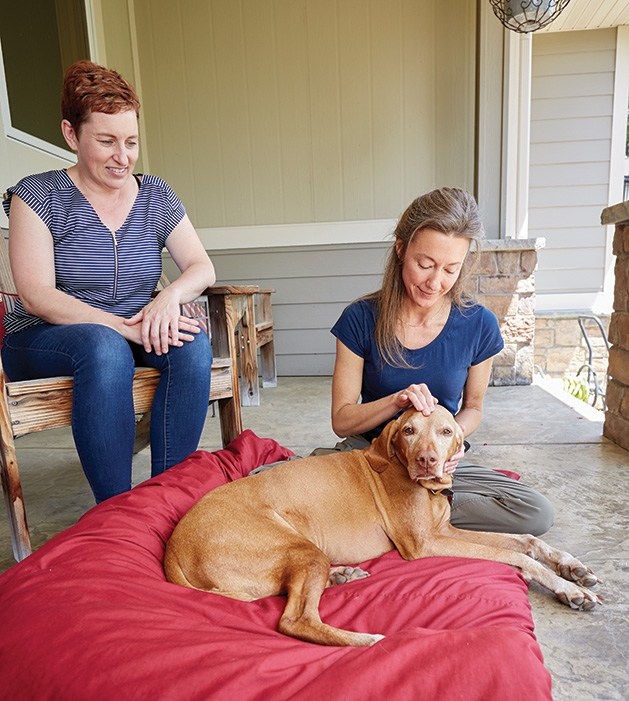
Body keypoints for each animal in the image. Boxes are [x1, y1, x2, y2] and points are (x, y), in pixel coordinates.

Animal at [164, 404, 600, 644]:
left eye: (446, 431)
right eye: (408, 430)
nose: (427, 460)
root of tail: (173, 548)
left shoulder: (443, 532)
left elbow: (525, 540)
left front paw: (571, 568)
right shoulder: (426, 545)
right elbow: (520, 558)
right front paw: (566, 587)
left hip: (306, 556)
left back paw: (341, 575)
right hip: (296, 547)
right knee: (295, 620)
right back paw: (366, 640)